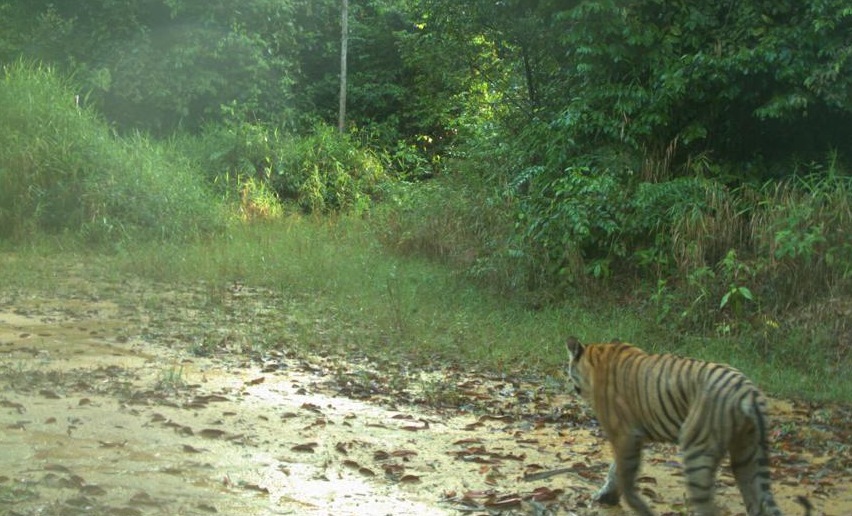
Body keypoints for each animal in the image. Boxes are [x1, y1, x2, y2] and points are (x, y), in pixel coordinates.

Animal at [564, 338, 808, 516]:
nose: (572, 386)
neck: (597, 355)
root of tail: (747, 392)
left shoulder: (624, 434)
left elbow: (623, 472)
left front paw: (631, 504)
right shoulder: (632, 435)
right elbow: (616, 468)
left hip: (697, 450)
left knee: (708, 506)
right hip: (748, 454)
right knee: (758, 503)